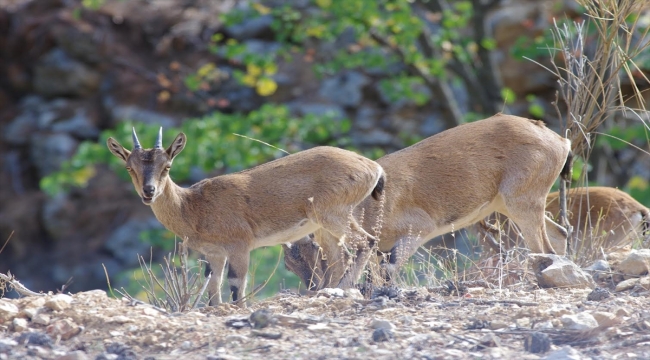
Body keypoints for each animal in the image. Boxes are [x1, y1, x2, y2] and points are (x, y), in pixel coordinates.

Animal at [107, 129, 384, 304]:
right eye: (129, 167)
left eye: (167, 166)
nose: (149, 191)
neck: (194, 208)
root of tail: (373, 167)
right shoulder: (214, 253)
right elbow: (213, 288)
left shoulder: (239, 245)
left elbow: (236, 285)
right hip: (324, 225)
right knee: (339, 256)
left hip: (334, 213)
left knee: (366, 242)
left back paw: (343, 289)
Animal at [280, 115, 568, 290]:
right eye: (288, 264)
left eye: (313, 250)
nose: (314, 287)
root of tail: (560, 141)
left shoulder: (419, 228)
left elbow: (388, 269)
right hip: (511, 203)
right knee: (559, 233)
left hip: (522, 199)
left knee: (543, 247)